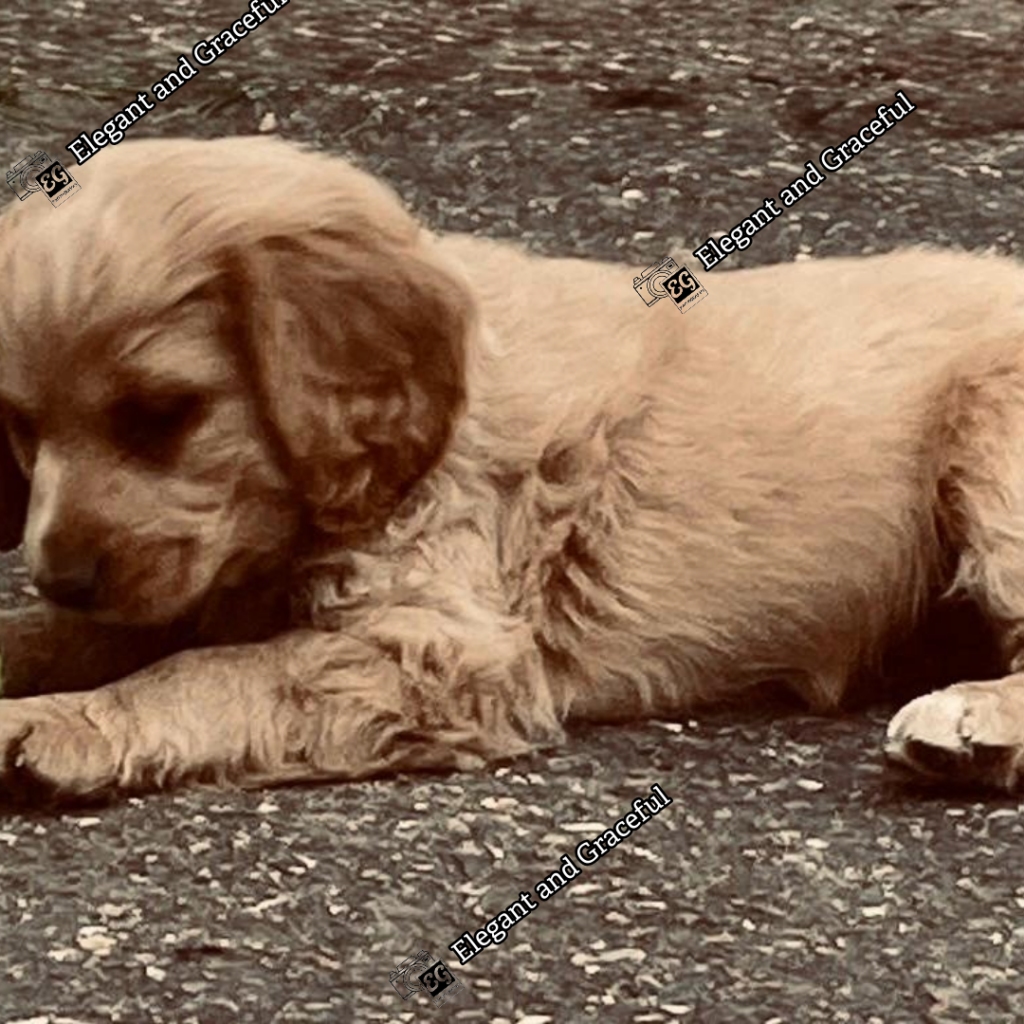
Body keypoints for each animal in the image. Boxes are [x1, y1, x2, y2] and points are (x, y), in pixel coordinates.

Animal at [0, 135, 1020, 802]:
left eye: (161, 414)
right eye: (22, 425)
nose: (63, 574)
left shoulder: (449, 651)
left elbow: (201, 673)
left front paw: (63, 725)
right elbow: (67, 636)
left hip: (992, 452)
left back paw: (971, 725)